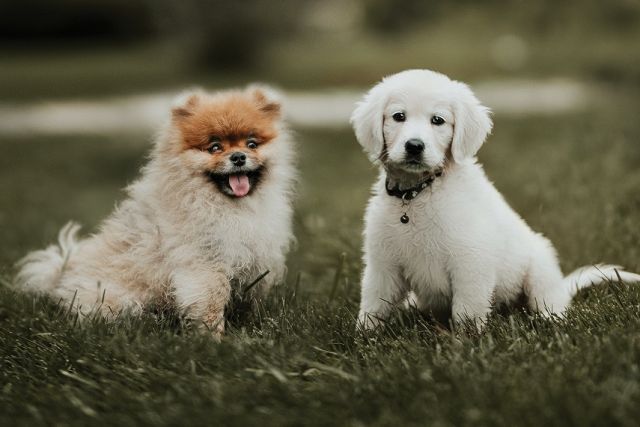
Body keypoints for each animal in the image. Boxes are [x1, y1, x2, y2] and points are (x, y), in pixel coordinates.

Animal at [15, 84, 296, 338]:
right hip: (119, 300)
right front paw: (213, 339)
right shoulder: (204, 263)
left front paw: (251, 325)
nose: (238, 157)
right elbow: (211, 300)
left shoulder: (255, 259)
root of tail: (63, 276)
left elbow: (251, 297)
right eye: (215, 147)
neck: (228, 206)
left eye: (252, 144)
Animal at [350, 70, 640, 332]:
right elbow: (373, 307)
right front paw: (364, 339)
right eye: (398, 116)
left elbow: (466, 311)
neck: (418, 193)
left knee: (549, 302)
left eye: (438, 120)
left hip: (539, 268)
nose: (414, 146)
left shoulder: (471, 260)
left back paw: (550, 320)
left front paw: (465, 343)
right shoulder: (382, 265)